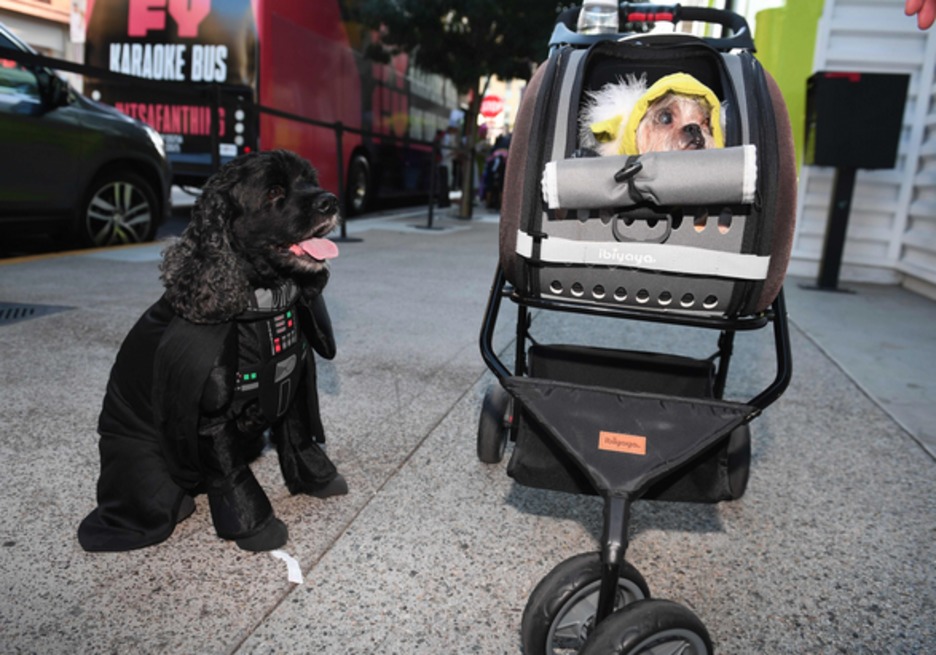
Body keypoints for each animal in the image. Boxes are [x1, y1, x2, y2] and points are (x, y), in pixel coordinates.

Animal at [77, 150, 348, 552]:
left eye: (309, 180)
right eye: (274, 191)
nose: (330, 201)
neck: (265, 303)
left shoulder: (294, 386)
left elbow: (298, 436)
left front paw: (318, 479)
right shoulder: (211, 420)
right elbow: (231, 473)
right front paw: (256, 527)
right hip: (149, 481)